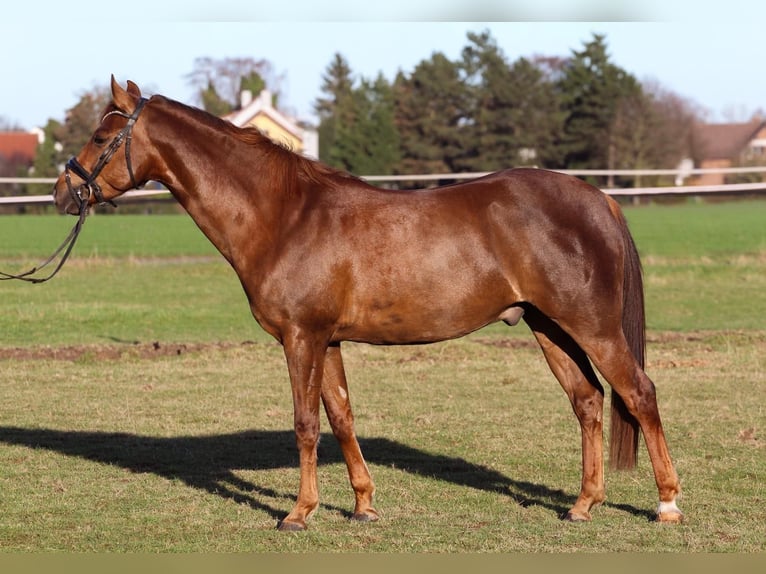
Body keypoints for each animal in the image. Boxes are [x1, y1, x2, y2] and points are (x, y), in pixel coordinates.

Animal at [53, 77, 683, 531]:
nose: (64, 192)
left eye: (102, 136)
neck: (284, 215)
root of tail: (599, 196)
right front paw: (362, 506)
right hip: (549, 327)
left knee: (638, 393)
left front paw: (298, 513)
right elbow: (341, 416)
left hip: (592, 326)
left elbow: (306, 422)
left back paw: (667, 504)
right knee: (588, 401)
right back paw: (582, 505)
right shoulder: (327, 340)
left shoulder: (301, 337)